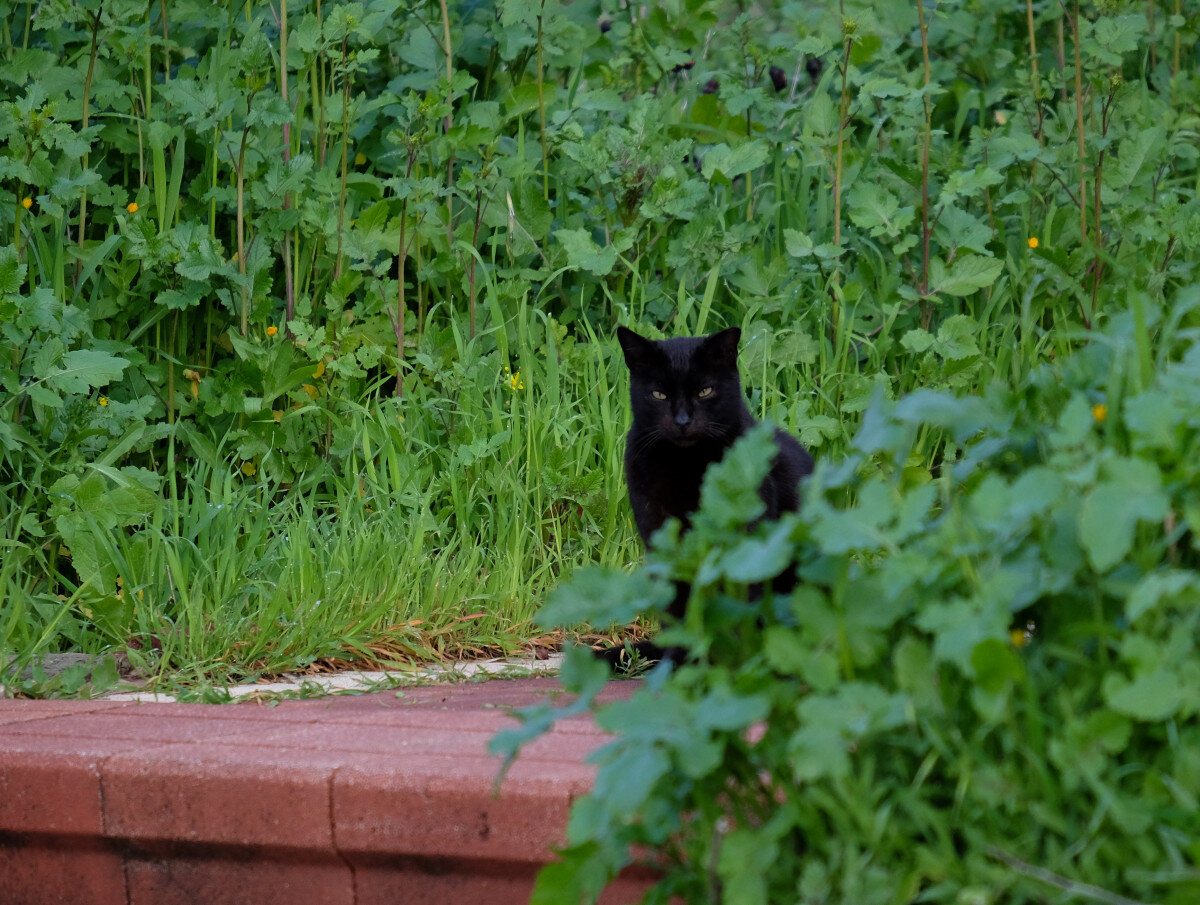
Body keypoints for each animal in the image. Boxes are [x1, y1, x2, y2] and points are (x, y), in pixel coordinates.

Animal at [600, 321, 816, 662]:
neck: (686, 467)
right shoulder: (660, 534)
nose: (683, 420)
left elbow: (739, 600)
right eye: (659, 394)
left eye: (705, 391)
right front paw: (682, 661)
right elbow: (679, 607)